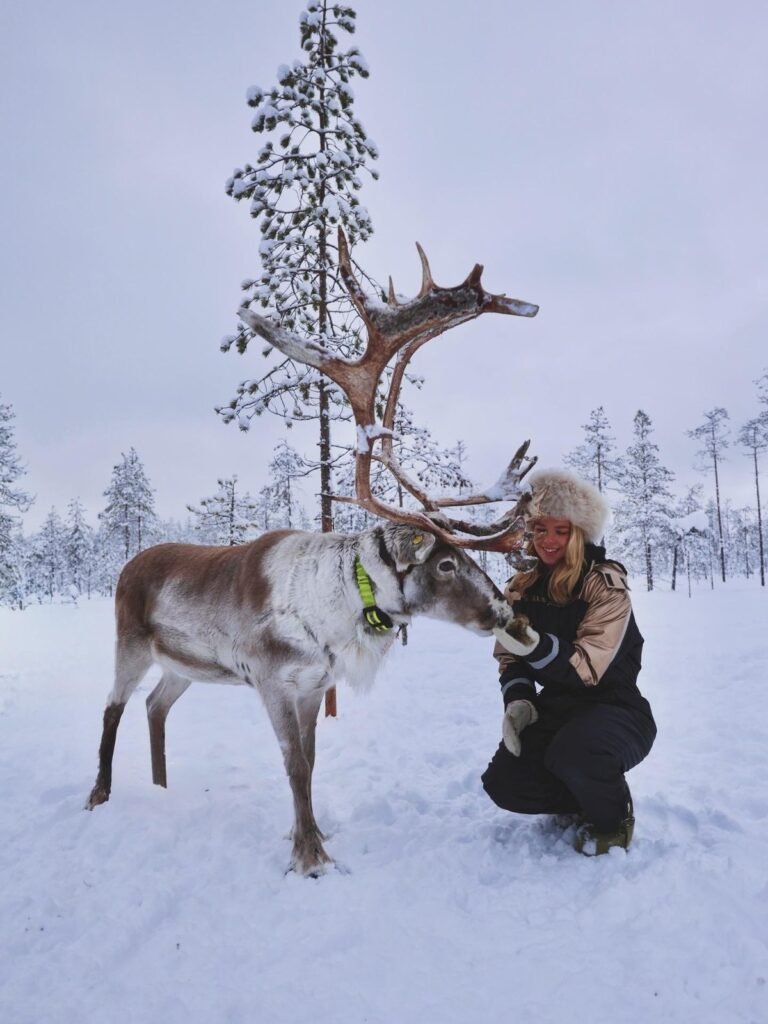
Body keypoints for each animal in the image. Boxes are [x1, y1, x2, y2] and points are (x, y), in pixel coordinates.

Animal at [85, 229, 539, 876]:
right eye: (447, 563)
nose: (506, 614)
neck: (337, 606)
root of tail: (128, 563)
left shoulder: (314, 686)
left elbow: (312, 763)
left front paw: (314, 834)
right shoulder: (273, 681)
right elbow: (295, 766)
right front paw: (309, 854)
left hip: (184, 666)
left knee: (155, 707)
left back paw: (161, 790)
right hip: (130, 643)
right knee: (113, 707)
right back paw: (99, 794)